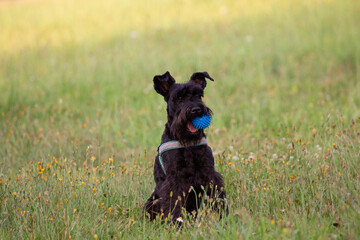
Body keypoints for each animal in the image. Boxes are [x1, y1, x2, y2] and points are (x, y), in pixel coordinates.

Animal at [143, 71, 225, 223]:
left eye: (199, 95)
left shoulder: (209, 173)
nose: (196, 110)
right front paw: (176, 223)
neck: (188, 143)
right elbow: (174, 203)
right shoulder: (174, 180)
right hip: (152, 201)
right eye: (179, 97)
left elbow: (218, 197)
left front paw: (223, 216)